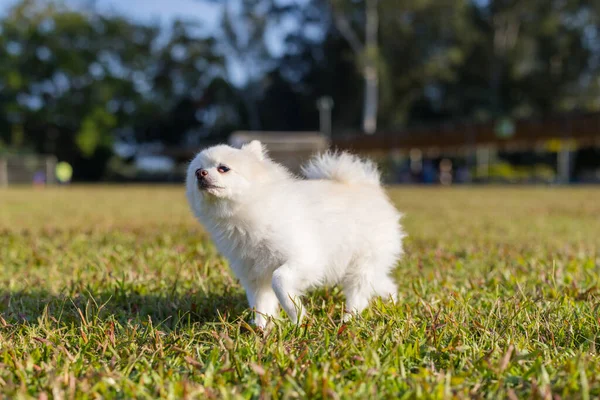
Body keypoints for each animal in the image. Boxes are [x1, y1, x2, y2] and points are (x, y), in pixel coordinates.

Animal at [185, 141, 406, 328]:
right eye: (196, 170)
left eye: (223, 168)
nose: (201, 174)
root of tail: (369, 187)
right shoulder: (254, 274)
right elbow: (260, 303)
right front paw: (261, 329)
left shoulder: (305, 259)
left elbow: (279, 281)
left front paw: (296, 315)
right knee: (383, 284)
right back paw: (392, 302)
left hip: (360, 263)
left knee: (358, 294)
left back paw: (348, 319)